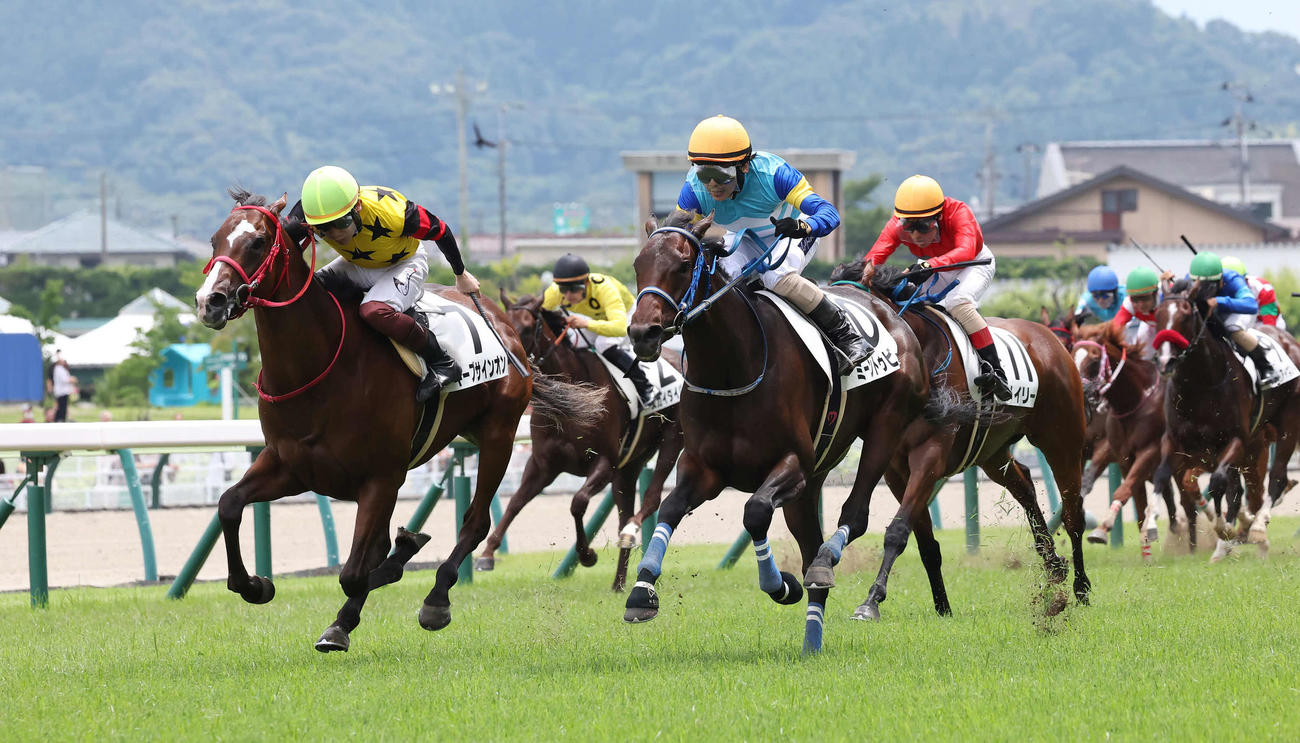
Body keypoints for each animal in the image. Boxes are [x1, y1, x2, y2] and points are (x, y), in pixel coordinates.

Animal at [195, 188, 598, 652]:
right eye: (214, 240)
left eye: (258, 242)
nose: (210, 301)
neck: (319, 367)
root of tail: (505, 325)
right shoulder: (290, 466)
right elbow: (229, 505)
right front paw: (256, 585)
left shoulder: (382, 477)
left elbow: (355, 573)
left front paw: (398, 563)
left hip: (499, 434)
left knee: (475, 522)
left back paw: (436, 598)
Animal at [475, 291, 684, 591]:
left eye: (525, 327)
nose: (511, 371)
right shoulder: (542, 464)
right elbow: (515, 502)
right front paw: (487, 553)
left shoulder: (605, 462)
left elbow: (578, 502)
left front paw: (587, 555)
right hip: (628, 467)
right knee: (624, 513)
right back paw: (618, 582)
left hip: (670, 441)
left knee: (652, 499)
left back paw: (630, 538)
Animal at [624, 212, 933, 653]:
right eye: (638, 265)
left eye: (683, 265)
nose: (643, 333)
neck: (734, 367)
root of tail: (888, 309)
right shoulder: (704, 468)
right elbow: (669, 509)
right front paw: (642, 590)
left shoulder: (793, 463)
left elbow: (755, 511)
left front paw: (780, 585)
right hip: (814, 478)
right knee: (809, 544)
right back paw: (812, 639)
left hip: (885, 429)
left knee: (851, 518)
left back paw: (825, 567)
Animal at [813, 259, 1092, 620]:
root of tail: (1052, 340)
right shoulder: (896, 469)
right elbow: (924, 542)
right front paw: (942, 606)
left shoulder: (929, 455)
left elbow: (898, 531)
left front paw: (871, 600)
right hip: (992, 451)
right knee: (1025, 485)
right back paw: (1053, 565)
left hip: (1062, 440)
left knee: (1073, 514)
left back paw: (1081, 587)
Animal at [1150, 285, 1300, 558]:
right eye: (1157, 314)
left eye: (1185, 316)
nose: (1166, 361)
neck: (1200, 385)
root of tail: (1290, 341)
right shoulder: (1176, 441)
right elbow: (1162, 475)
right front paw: (1149, 525)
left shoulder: (1233, 440)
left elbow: (1218, 483)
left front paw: (1224, 529)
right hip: (1254, 446)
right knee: (1248, 490)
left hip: (1287, 424)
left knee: (1276, 478)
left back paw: (1257, 527)